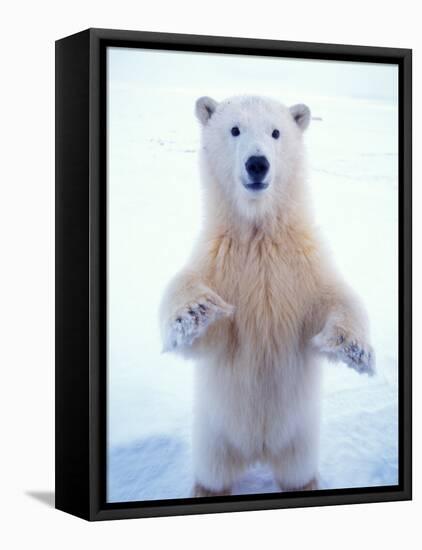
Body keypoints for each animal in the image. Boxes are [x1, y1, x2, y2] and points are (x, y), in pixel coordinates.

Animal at [158, 96, 372, 500]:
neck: (259, 234)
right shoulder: (219, 261)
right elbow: (198, 319)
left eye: (276, 132)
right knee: (213, 472)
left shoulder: (301, 264)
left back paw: (305, 484)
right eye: (234, 129)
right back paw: (206, 489)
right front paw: (196, 309)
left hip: (301, 438)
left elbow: (334, 297)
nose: (257, 164)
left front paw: (355, 348)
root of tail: (258, 451)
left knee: (296, 472)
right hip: (213, 435)